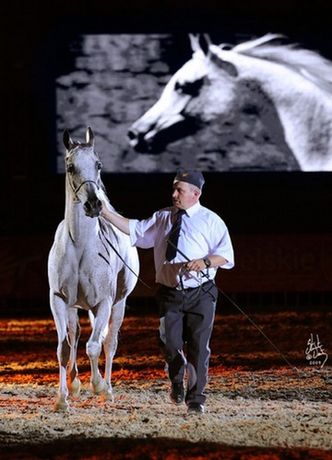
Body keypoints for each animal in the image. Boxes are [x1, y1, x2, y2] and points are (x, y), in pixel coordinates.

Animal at [48, 126, 139, 410]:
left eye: (98, 164)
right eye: (70, 167)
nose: (93, 205)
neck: (80, 247)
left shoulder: (104, 302)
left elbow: (94, 346)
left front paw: (98, 385)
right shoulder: (59, 300)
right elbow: (64, 348)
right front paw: (62, 399)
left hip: (119, 302)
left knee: (109, 342)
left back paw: (107, 389)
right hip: (75, 307)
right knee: (75, 336)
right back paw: (76, 384)